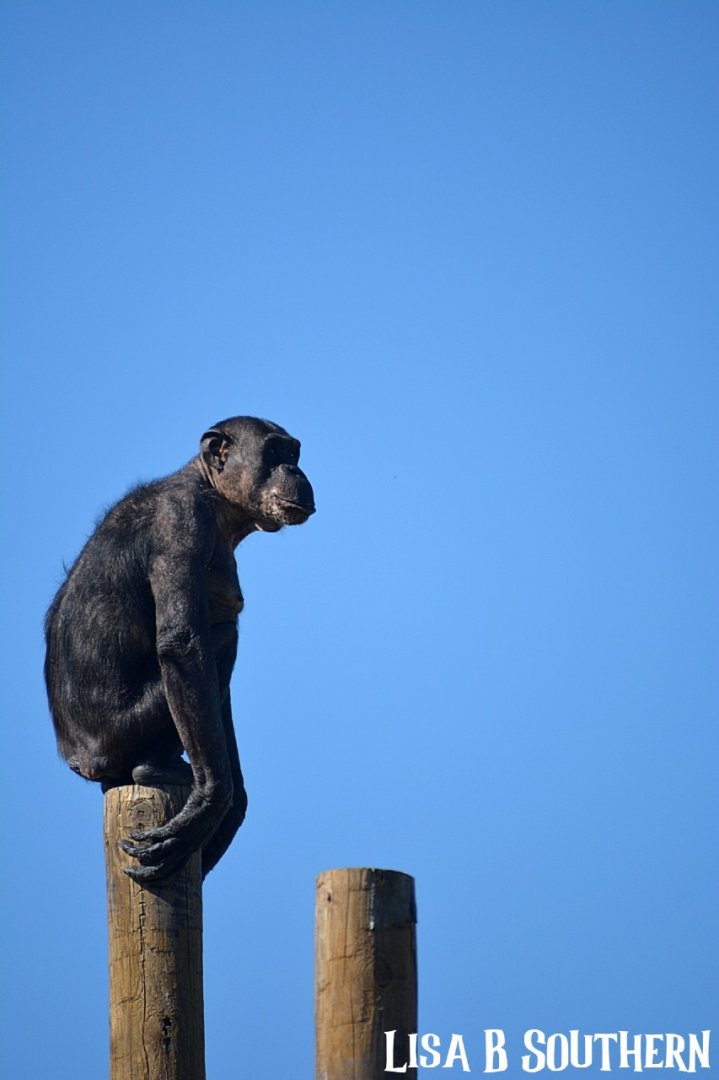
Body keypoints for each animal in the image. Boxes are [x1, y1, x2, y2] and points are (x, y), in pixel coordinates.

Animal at [44, 416, 315, 882]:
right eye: (274, 452)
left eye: (293, 453)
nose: (294, 469)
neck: (213, 496)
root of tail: (79, 760)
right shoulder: (182, 521)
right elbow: (185, 643)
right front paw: (210, 801)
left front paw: (230, 808)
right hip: (120, 736)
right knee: (222, 637)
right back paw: (157, 765)